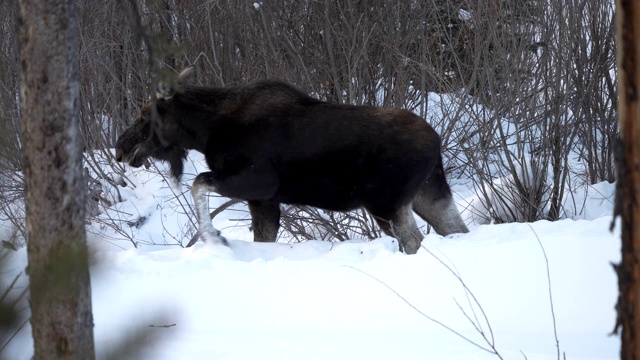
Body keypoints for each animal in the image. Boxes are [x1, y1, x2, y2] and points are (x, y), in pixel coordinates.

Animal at [115, 67, 468, 253]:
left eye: (145, 115)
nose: (120, 147)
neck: (206, 131)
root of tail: (436, 141)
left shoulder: (258, 182)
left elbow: (199, 182)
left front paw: (214, 237)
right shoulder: (264, 200)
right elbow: (263, 237)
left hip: (386, 202)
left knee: (415, 240)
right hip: (429, 193)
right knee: (455, 229)